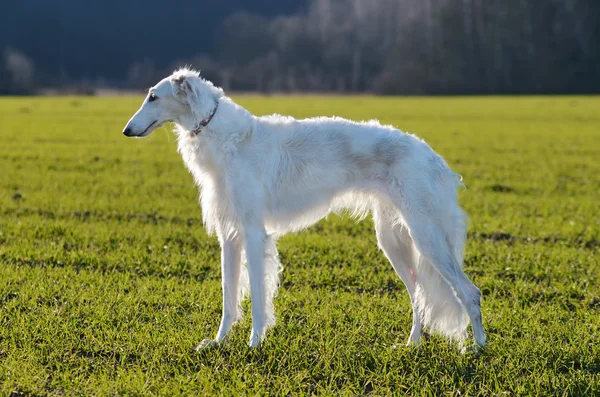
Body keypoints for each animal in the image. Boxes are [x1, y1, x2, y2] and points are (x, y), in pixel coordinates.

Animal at [124, 69, 486, 350]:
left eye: (153, 97)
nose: (127, 130)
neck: (227, 137)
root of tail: (434, 158)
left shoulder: (253, 232)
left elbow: (257, 296)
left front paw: (254, 343)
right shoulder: (229, 234)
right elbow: (229, 299)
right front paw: (217, 342)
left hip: (426, 236)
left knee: (470, 292)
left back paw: (479, 349)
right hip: (394, 239)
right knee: (420, 296)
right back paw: (412, 344)